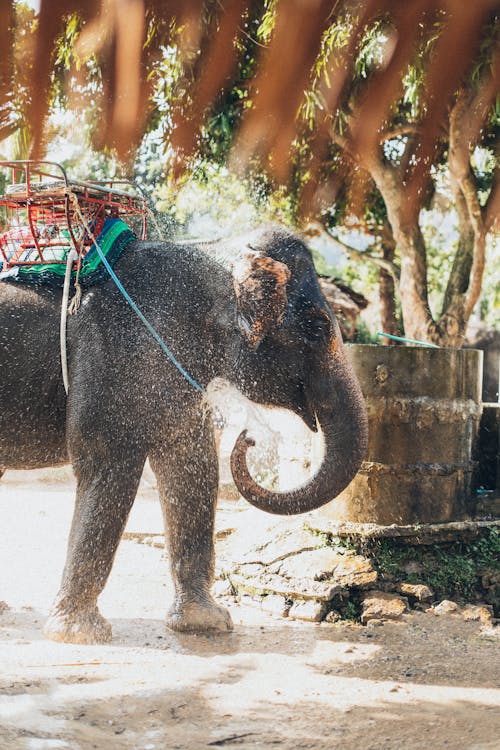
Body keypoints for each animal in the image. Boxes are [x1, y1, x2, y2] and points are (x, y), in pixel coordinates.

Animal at [0, 225, 368, 648]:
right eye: (318, 326)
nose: (248, 438)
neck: (213, 255)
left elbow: (191, 465)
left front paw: (207, 623)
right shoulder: (115, 351)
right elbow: (109, 463)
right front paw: (79, 635)